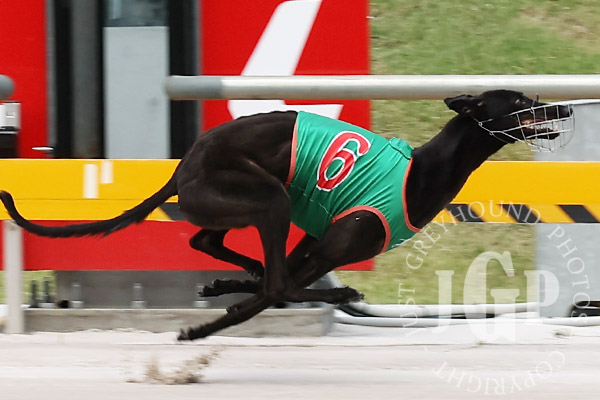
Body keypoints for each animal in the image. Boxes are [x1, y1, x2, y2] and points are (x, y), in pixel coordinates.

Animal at [0, 90, 572, 340]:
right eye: (520, 101)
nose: (564, 108)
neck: (421, 174)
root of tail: (185, 163)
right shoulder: (333, 244)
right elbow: (274, 293)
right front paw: (203, 328)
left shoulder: (314, 242)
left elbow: (269, 287)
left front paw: (219, 300)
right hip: (269, 197)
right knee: (274, 280)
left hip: (246, 204)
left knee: (214, 247)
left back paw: (232, 281)